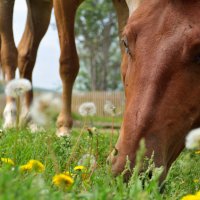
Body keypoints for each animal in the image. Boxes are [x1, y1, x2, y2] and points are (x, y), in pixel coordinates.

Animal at [0, 0, 128, 136]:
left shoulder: (123, 4)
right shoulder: (62, 4)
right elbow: (69, 63)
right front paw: (64, 127)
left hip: (40, 6)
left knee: (25, 55)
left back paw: (31, 122)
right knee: (9, 54)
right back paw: (10, 117)